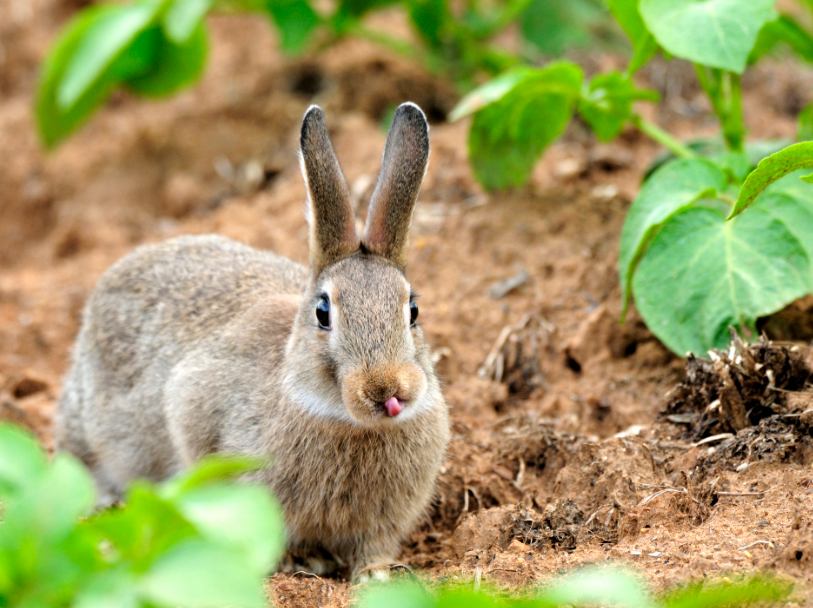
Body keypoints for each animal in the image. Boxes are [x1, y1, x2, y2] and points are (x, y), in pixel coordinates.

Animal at [55, 103, 450, 580]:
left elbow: (373, 546)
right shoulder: (193, 405)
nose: (387, 390)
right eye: (323, 313)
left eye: (412, 310)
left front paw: (375, 575)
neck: (345, 418)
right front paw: (297, 561)